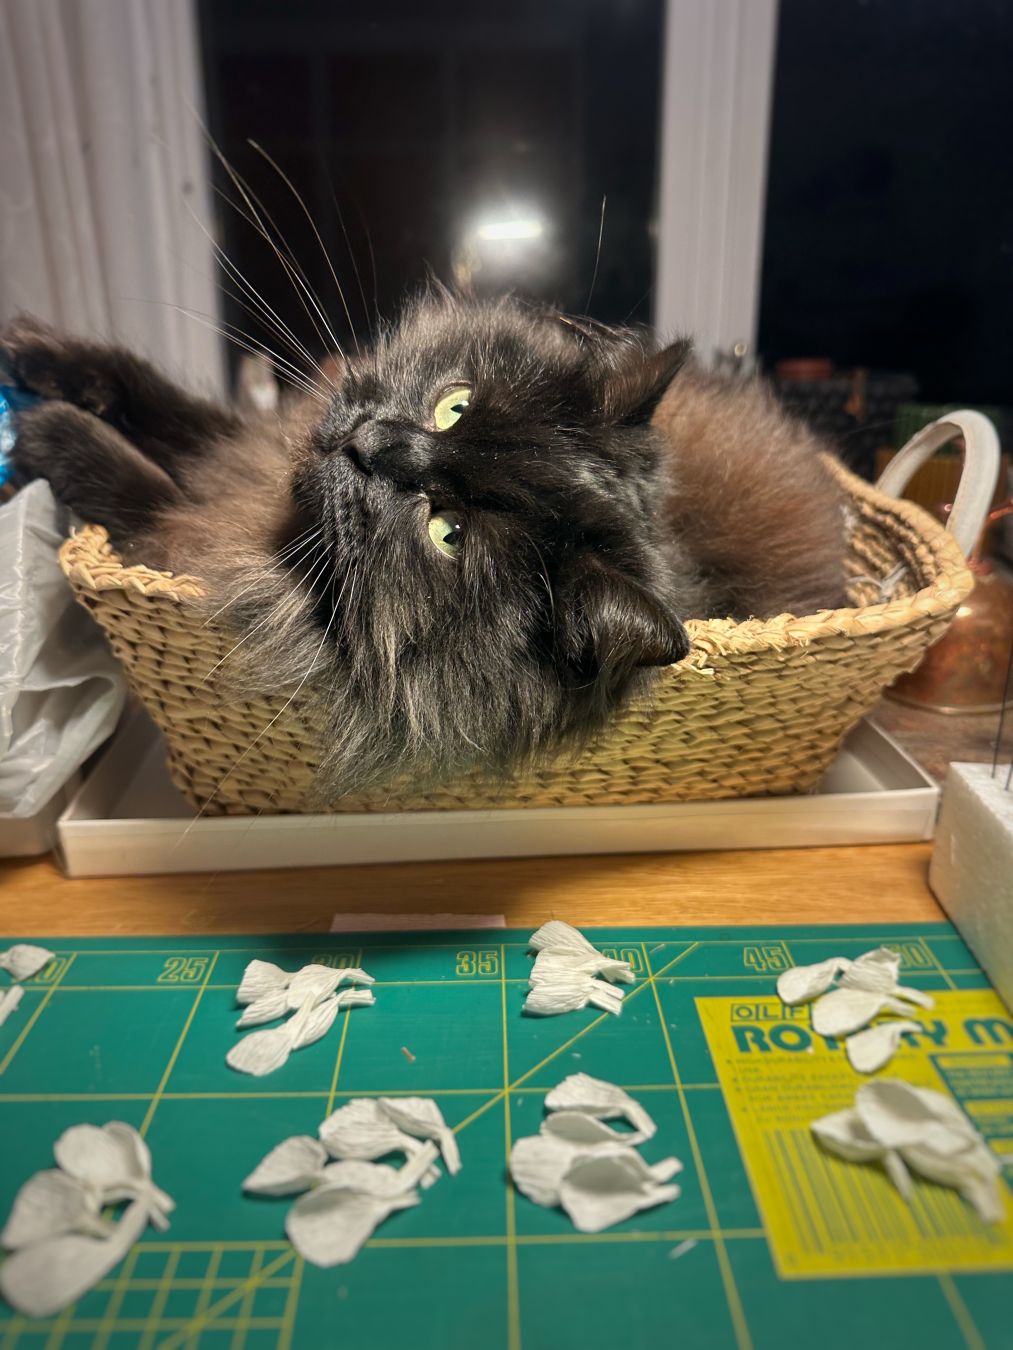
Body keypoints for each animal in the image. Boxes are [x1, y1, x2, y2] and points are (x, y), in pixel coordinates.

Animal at [0, 298, 848, 788]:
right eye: (455, 407)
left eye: (447, 533)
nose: (369, 446)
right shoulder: (243, 455)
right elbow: (164, 405)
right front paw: (36, 355)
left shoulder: (184, 530)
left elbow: (142, 494)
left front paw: (51, 433)